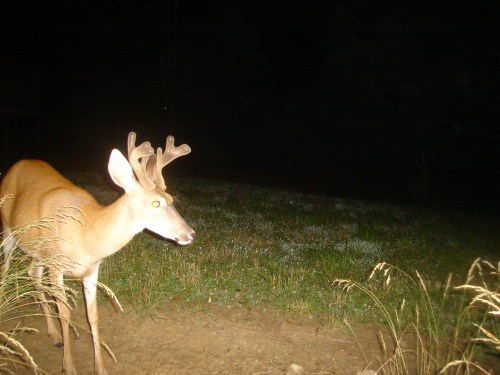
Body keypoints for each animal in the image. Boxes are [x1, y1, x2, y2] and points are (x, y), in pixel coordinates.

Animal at [0, 131, 195, 374]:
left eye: (170, 199)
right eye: (155, 203)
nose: (190, 234)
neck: (86, 234)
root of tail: (16, 166)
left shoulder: (92, 270)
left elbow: (92, 316)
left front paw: (100, 367)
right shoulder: (57, 266)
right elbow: (64, 312)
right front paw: (68, 366)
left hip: (38, 249)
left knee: (31, 273)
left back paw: (54, 335)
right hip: (8, 228)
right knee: (6, 267)